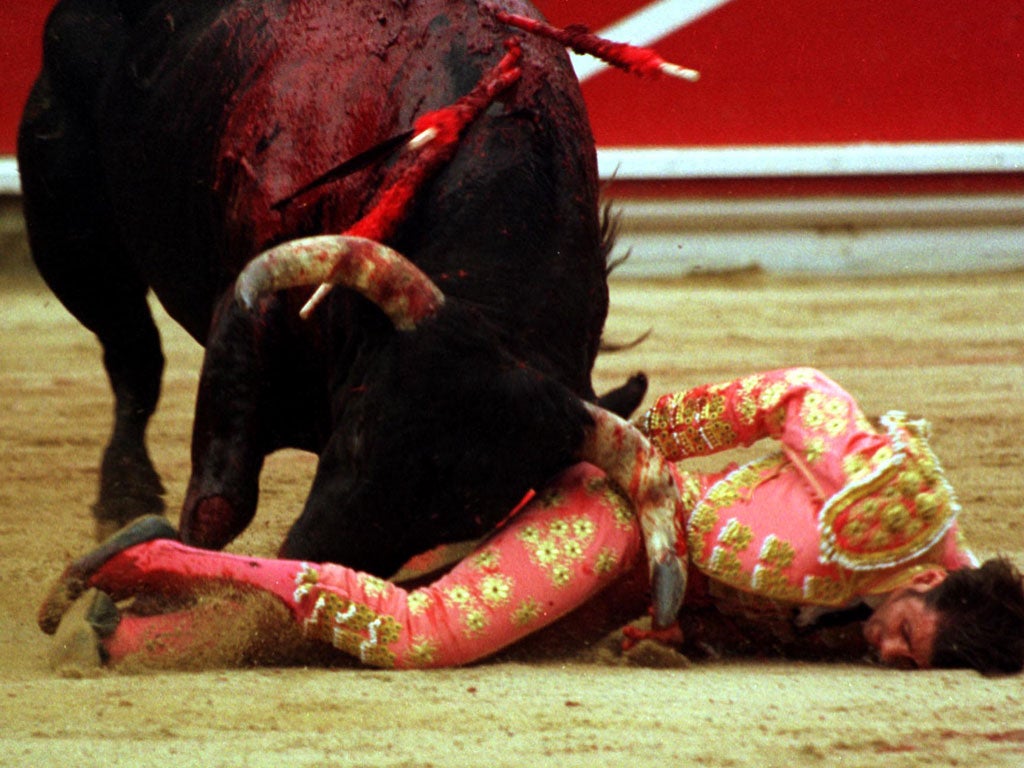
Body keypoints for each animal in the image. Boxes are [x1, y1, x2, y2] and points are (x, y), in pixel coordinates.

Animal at [19, 0, 688, 602]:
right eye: (358, 434)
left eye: (469, 514)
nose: (305, 556)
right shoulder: (245, 312)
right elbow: (217, 504)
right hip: (73, 242)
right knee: (133, 356)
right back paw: (123, 496)